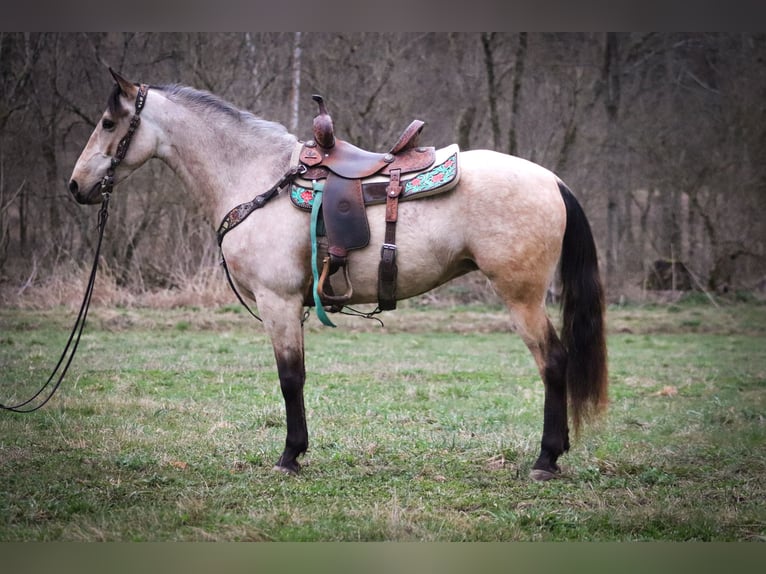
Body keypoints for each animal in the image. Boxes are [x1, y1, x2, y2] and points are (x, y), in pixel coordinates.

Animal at [67, 70, 608, 482]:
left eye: (108, 122)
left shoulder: (279, 302)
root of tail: (552, 180)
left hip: (522, 297)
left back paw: (546, 459)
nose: (76, 186)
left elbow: (290, 378)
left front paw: (290, 456)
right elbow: (297, 376)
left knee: (553, 362)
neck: (256, 177)